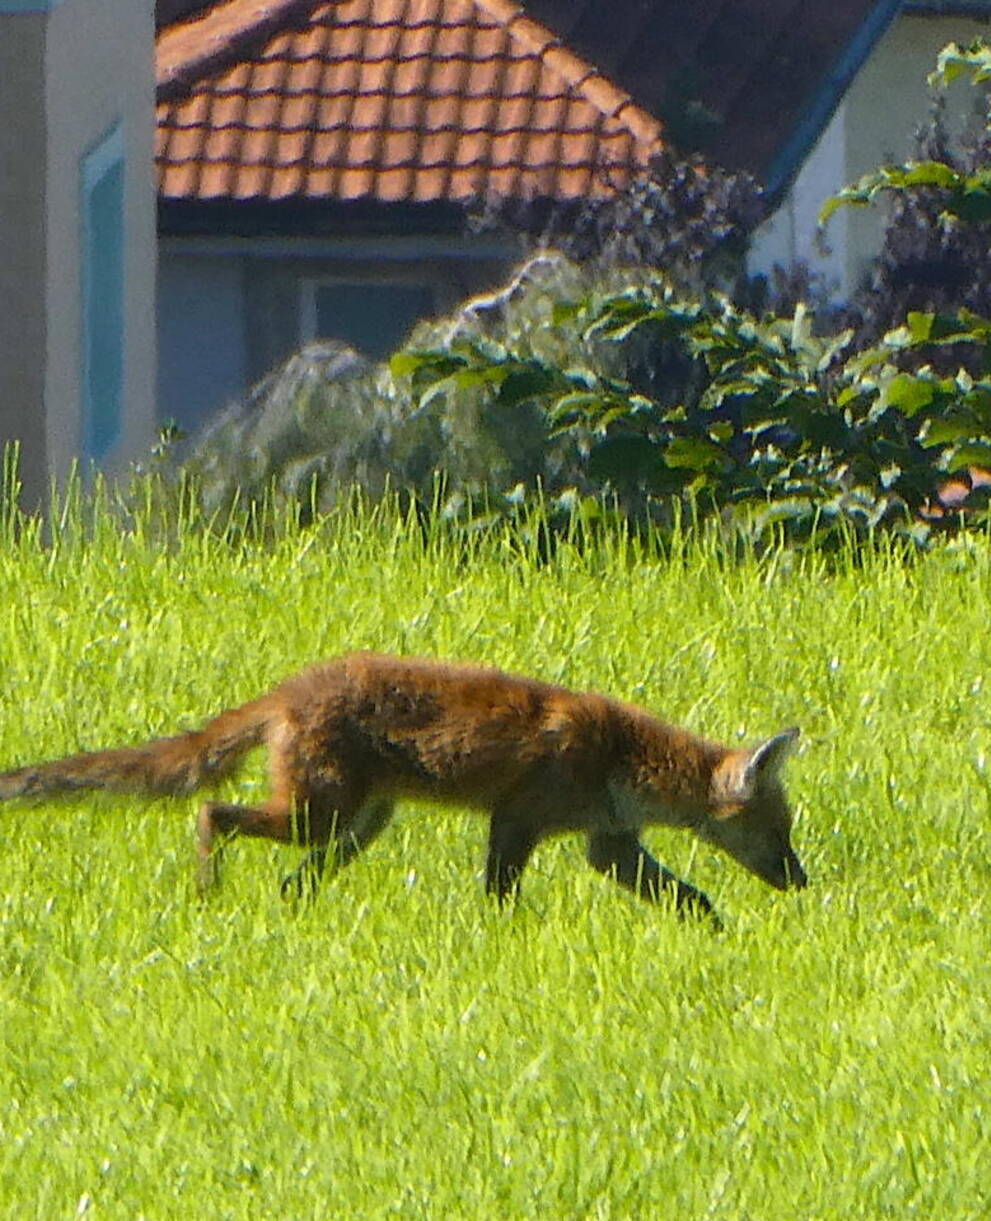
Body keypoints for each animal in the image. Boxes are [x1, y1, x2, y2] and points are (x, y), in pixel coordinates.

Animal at [0, 649, 805, 918]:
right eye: (778, 830)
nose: (801, 881)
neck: (617, 758)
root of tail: (288, 691)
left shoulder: (608, 843)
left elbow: (694, 900)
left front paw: (719, 936)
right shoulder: (517, 820)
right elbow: (499, 895)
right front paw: (501, 938)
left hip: (355, 827)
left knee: (290, 880)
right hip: (316, 815)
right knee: (210, 811)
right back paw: (207, 889)